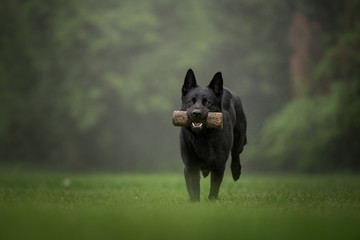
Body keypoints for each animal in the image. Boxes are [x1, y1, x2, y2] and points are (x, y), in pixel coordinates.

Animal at [179, 68, 246, 201]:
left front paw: (212, 201)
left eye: (207, 102)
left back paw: (236, 171)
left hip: (240, 138)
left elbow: (214, 188)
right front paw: (195, 202)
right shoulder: (190, 167)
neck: (202, 137)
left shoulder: (218, 165)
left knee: (236, 153)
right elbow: (194, 189)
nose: (196, 113)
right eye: (191, 101)